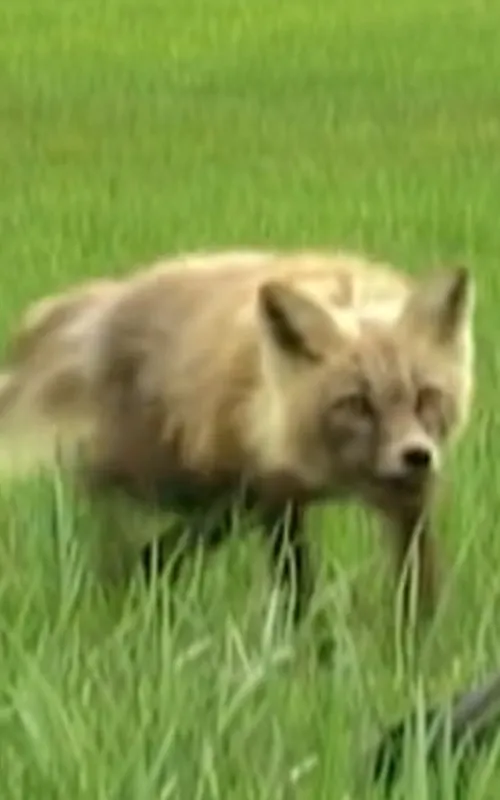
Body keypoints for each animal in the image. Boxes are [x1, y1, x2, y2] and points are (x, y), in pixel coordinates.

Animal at [0, 249, 475, 628]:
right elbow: (296, 588)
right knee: (112, 523)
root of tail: (111, 298)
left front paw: (413, 655)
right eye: (356, 404)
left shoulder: (407, 506)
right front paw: (308, 652)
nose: (416, 455)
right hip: (173, 483)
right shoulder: (275, 498)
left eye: (427, 397)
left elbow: (417, 593)